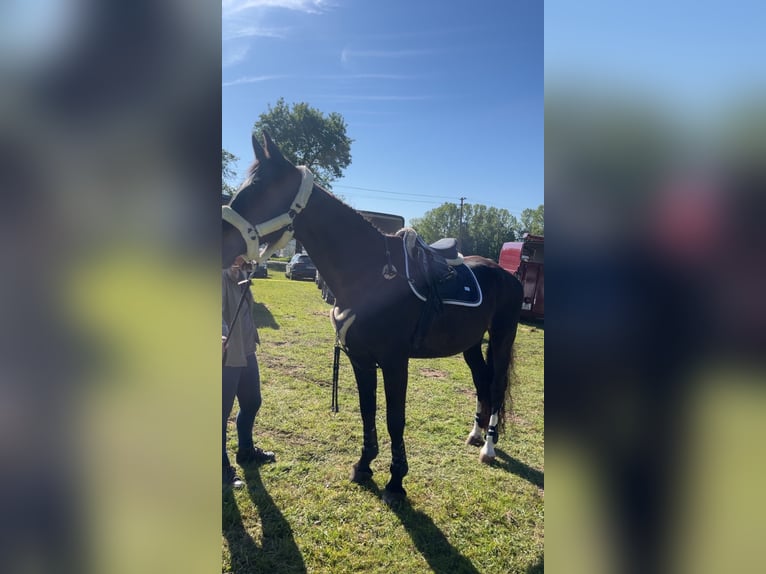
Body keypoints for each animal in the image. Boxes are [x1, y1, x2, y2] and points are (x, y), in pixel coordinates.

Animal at [222, 132, 523, 503]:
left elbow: (395, 418)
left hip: (502, 337)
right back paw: (476, 434)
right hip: (470, 344)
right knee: (482, 381)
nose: (220, 242)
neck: (371, 274)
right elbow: (368, 411)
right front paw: (364, 466)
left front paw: (396, 482)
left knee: (495, 385)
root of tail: (506, 275)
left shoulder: (395, 362)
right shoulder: (361, 360)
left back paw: (489, 448)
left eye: (260, 190)